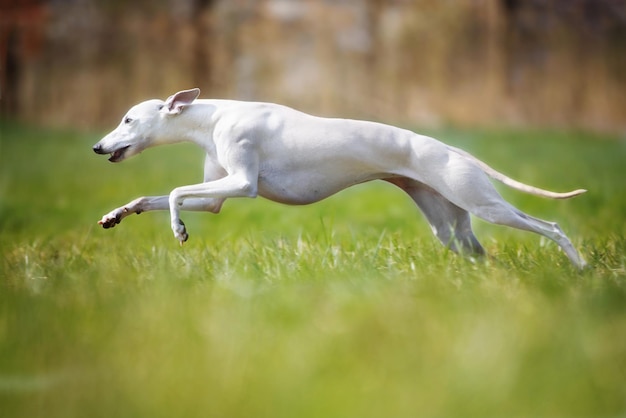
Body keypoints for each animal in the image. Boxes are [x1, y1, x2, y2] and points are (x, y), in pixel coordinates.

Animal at [92, 90, 584, 270]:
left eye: (128, 119)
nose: (97, 147)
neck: (212, 115)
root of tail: (451, 150)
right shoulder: (216, 196)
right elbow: (151, 197)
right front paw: (116, 214)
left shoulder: (242, 183)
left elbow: (175, 192)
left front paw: (178, 229)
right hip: (449, 223)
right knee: (476, 251)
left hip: (484, 204)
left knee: (551, 225)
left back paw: (579, 268)